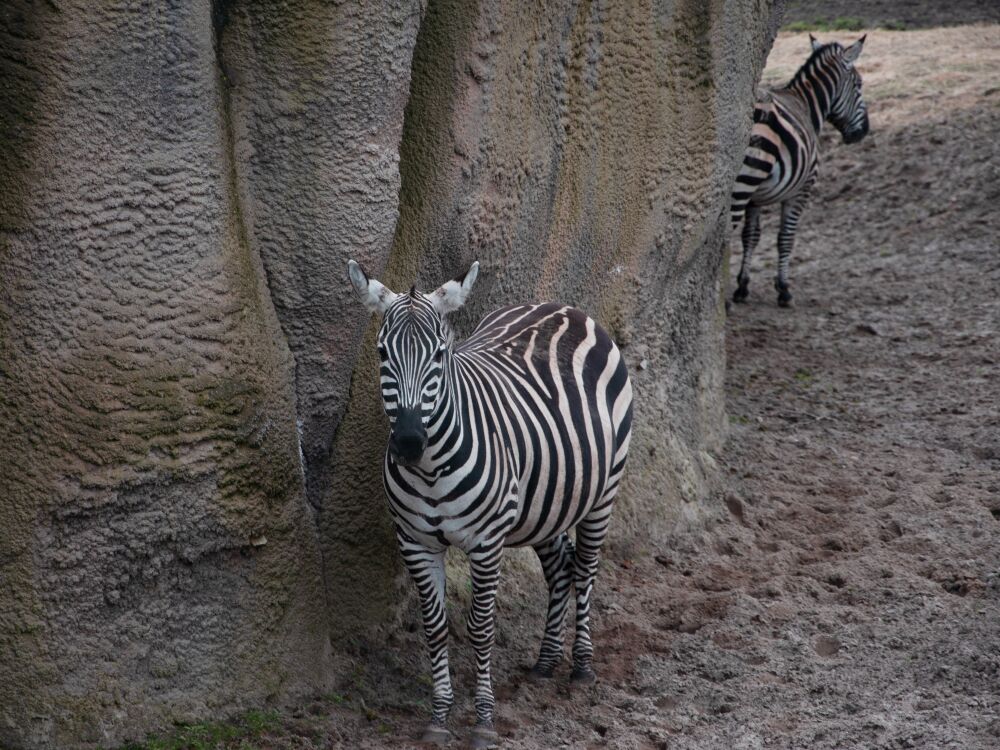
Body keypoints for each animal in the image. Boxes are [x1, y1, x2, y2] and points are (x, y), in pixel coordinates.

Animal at [348, 262, 636, 748]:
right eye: (383, 353)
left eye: (440, 355)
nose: (408, 442)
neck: (430, 470)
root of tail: (561, 306)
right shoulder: (416, 543)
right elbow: (436, 627)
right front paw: (439, 717)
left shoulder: (486, 542)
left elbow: (481, 628)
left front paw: (483, 720)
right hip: (545, 501)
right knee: (560, 568)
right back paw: (545, 662)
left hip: (604, 490)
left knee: (586, 568)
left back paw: (581, 666)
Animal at [728, 34, 868, 306]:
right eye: (858, 85)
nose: (864, 132)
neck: (808, 106)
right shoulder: (802, 189)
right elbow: (785, 238)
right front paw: (783, 289)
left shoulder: (755, 199)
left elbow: (751, 236)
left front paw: (742, 286)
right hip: (747, 181)